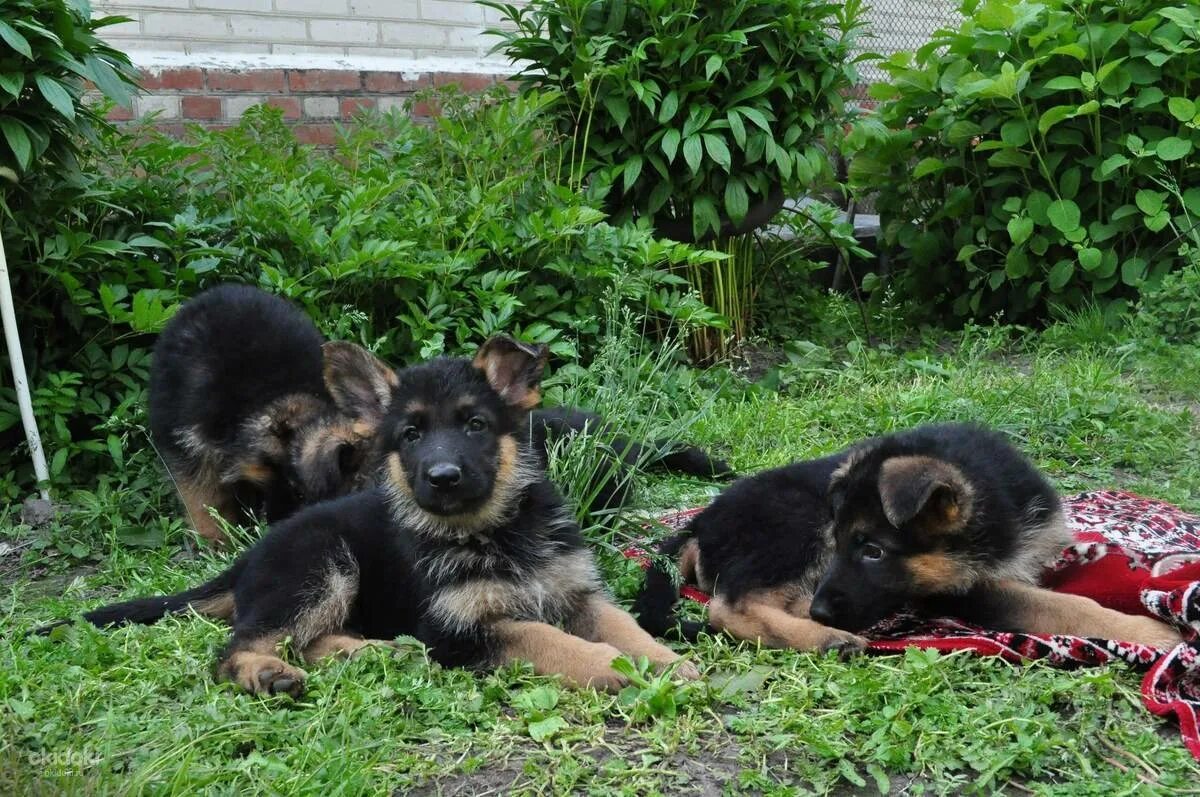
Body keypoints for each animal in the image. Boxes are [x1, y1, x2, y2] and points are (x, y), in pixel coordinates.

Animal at [46, 336, 700, 696]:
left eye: (475, 425)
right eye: (410, 436)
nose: (442, 477)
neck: (494, 531)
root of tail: (250, 557)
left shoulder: (579, 595)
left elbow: (626, 626)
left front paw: (668, 662)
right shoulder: (462, 630)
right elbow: (544, 636)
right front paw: (610, 667)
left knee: (301, 641)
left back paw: (371, 652)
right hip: (323, 566)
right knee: (236, 650)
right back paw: (268, 673)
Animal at [638, 420, 1180, 652]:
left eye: (873, 551)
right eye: (846, 543)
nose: (824, 610)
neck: (994, 508)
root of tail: (698, 522)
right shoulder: (971, 589)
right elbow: (1069, 606)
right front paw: (1153, 632)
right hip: (794, 529)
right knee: (731, 606)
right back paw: (828, 638)